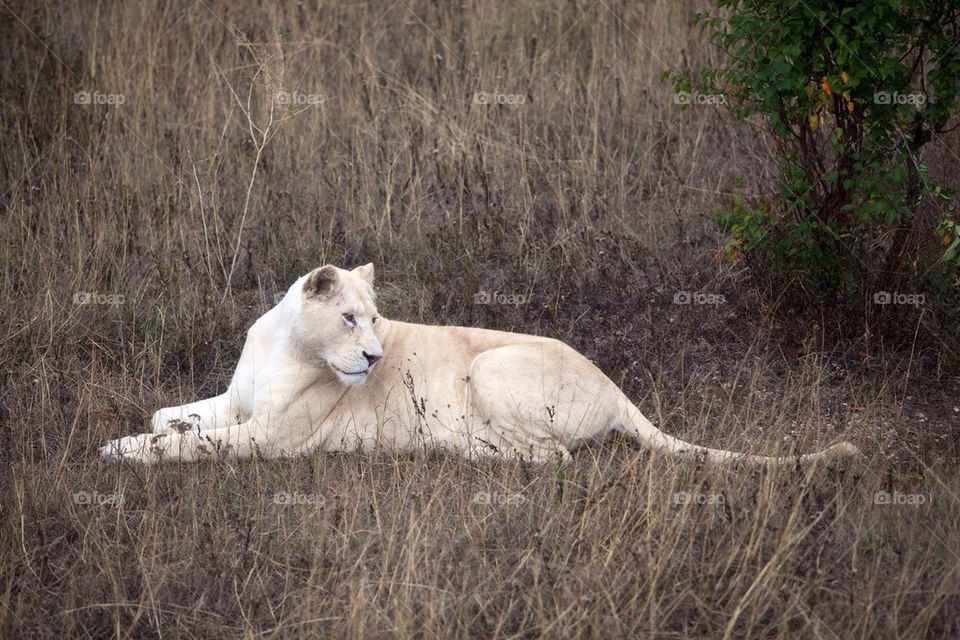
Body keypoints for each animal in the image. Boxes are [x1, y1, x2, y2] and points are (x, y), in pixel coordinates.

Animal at [100, 263, 861, 466]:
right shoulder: (238, 404)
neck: (288, 345)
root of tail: (616, 388)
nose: (374, 356)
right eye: (350, 318)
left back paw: (458, 450)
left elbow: (190, 446)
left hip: (490, 368)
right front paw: (155, 427)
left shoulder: (268, 437)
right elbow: (176, 414)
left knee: (554, 457)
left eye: (374, 319)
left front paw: (121, 451)